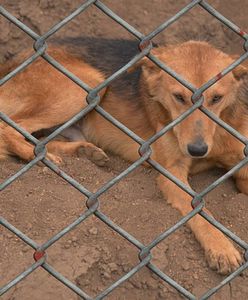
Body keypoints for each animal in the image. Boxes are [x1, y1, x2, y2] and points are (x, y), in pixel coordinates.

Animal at [0, 40, 248, 274]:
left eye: (217, 98)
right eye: (178, 97)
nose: (197, 150)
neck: (217, 135)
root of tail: (12, 61)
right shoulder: (172, 172)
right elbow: (201, 212)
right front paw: (221, 248)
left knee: (41, 138)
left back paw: (82, 151)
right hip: (86, 87)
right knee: (10, 128)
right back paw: (43, 158)